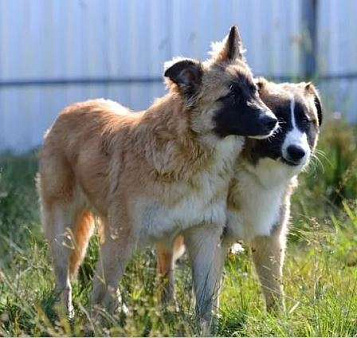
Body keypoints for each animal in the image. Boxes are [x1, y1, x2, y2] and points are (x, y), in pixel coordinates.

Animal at [37, 27, 276, 330]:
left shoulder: (203, 235)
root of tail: (69, 111)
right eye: (231, 96)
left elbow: (206, 297)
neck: (188, 152)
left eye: (254, 90)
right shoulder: (121, 238)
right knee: (65, 277)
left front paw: (204, 328)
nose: (273, 121)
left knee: (159, 276)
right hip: (63, 229)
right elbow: (104, 290)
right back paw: (65, 313)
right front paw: (97, 326)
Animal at [157, 77, 322, 314]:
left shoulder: (270, 237)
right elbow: (210, 291)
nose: (298, 151)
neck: (255, 172)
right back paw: (167, 308)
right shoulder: (213, 238)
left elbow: (273, 286)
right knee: (165, 264)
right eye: (279, 121)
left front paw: (279, 319)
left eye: (306, 121)